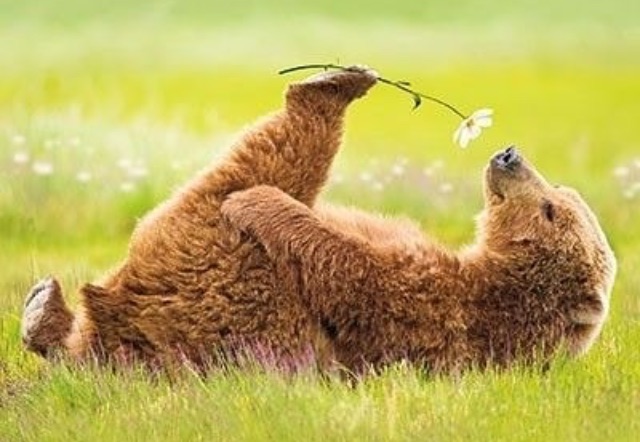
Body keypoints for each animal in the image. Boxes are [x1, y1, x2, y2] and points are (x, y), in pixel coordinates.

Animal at [219, 147, 616, 374]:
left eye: (550, 210)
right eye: (560, 189)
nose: (509, 156)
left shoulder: (438, 305)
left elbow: (355, 269)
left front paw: (254, 199)